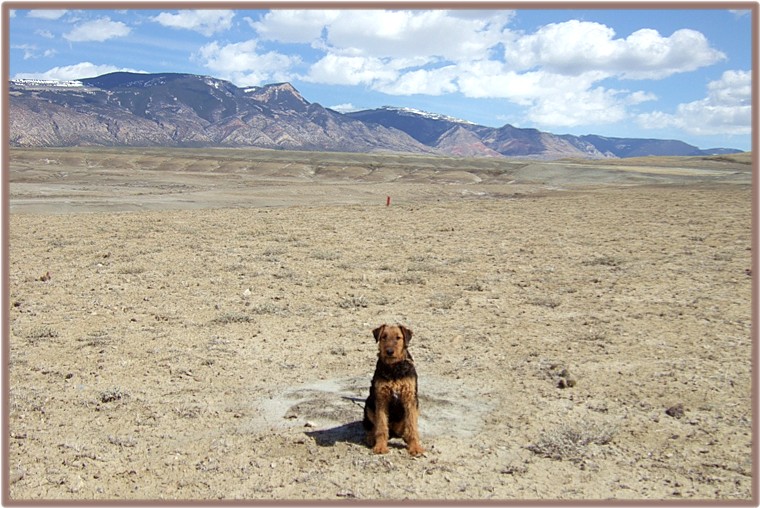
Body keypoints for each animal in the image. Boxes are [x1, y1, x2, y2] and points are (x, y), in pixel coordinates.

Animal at [360, 326, 422, 456]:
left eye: (398, 337)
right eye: (384, 336)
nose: (389, 352)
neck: (394, 368)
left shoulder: (410, 398)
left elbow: (412, 426)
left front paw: (415, 447)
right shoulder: (381, 398)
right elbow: (381, 426)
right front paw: (380, 447)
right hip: (369, 404)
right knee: (372, 426)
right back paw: (371, 438)